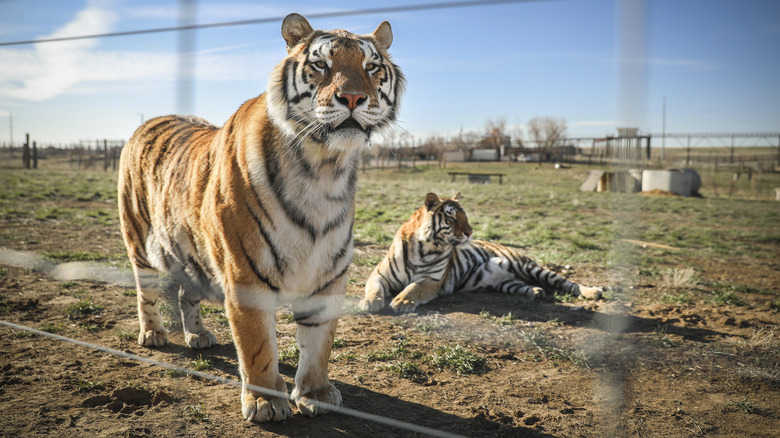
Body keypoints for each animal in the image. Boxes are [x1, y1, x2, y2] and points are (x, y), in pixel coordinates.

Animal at [120, 13, 408, 422]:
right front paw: (265, 401)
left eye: (371, 67)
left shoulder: (328, 276)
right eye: (322, 65)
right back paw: (153, 335)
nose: (353, 98)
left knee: (186, 293)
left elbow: (319, 345)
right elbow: (257, 346)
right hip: (139, 239)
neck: (323, 168)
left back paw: (198, 336)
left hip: (193, 251)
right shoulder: (246, 275)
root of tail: (150, 120)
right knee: (146, 290)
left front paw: (316, 393)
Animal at [360, 193, 604, 314]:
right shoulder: (379, 275)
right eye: (451, 217)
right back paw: (536, 292)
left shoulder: (432, 280)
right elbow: (374, 288)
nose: (470, 232)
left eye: (465, 216)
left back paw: (592, 292)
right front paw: (369, 302)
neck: (424, 246)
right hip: (506, 282)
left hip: (528, 266)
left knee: (567, 282)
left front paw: (402, 302)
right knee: (522, 285)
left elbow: (413, 288)